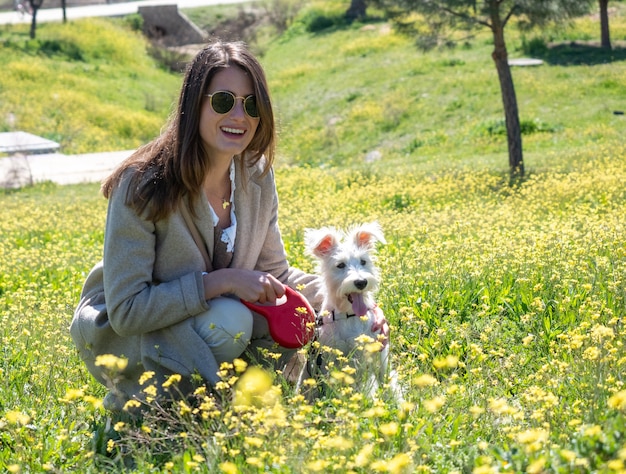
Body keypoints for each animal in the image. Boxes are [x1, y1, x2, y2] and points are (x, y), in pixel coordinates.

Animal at [300, 223, 392, 400]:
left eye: (363, 261)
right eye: (340, 265)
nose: (361, 282)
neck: (349, 315)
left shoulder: (380, 355)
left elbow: (386, 380)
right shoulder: (329, 358)